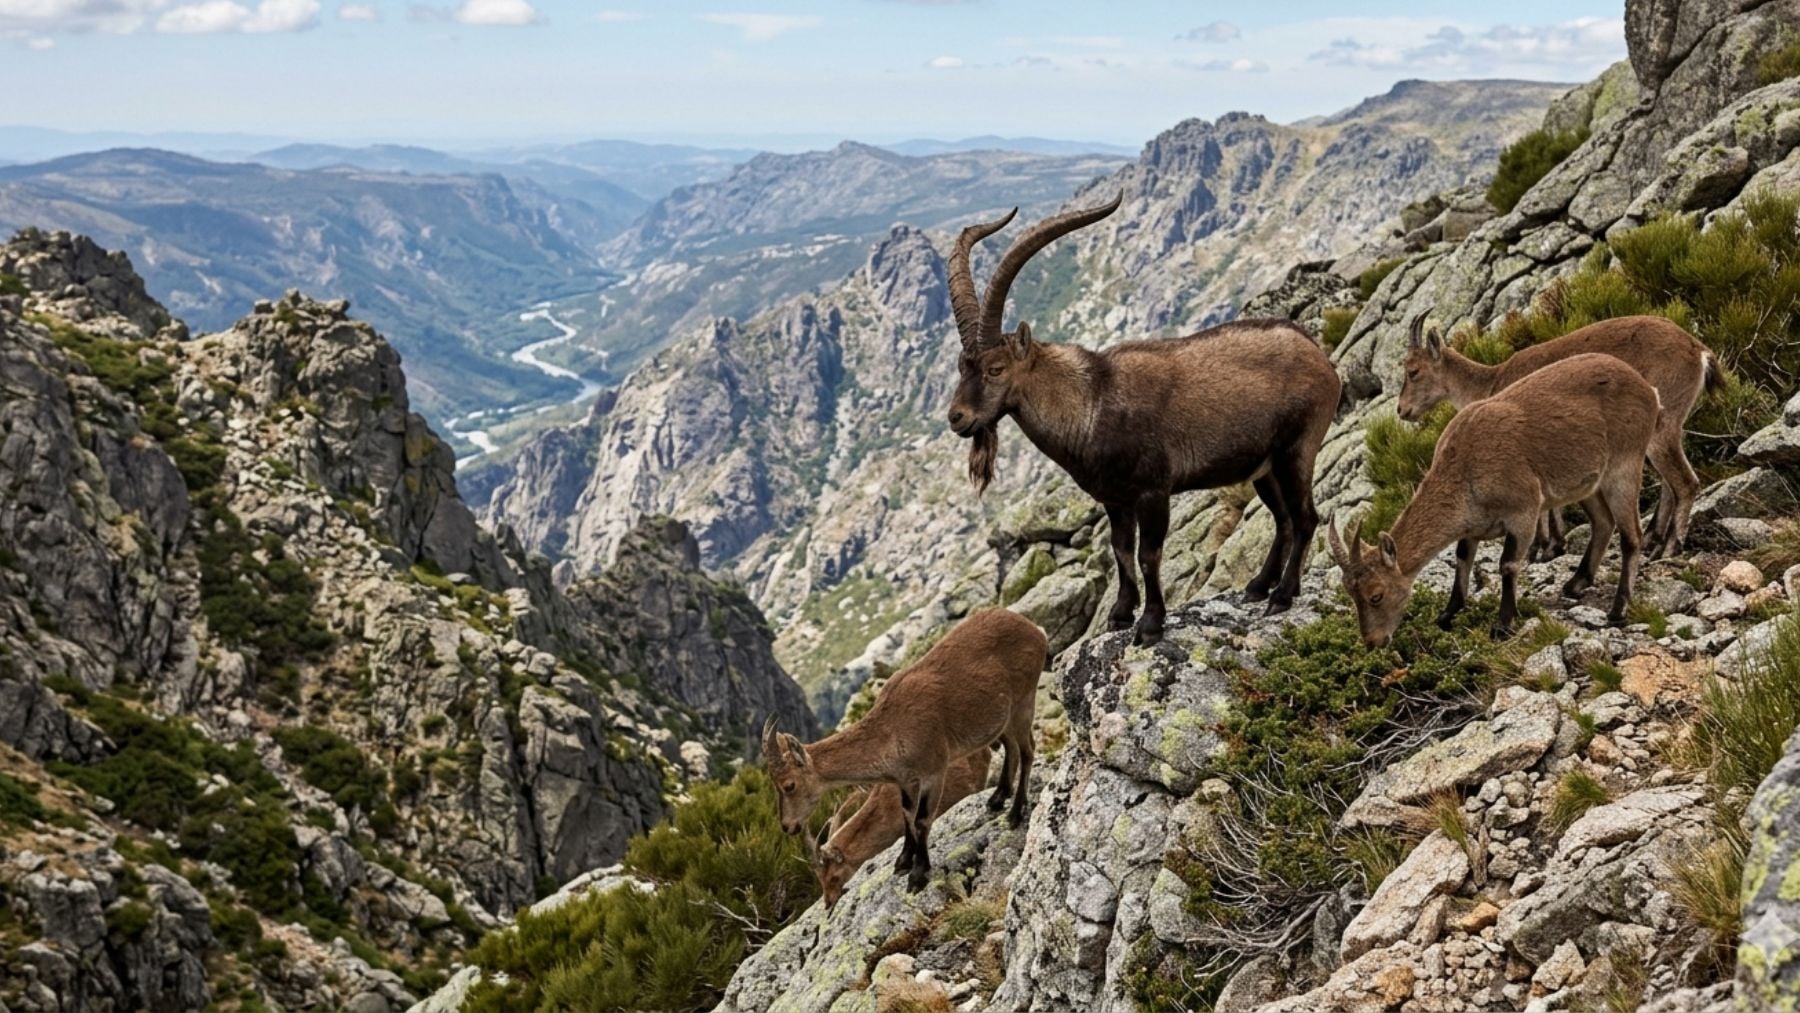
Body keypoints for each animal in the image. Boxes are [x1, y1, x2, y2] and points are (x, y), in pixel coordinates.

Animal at [944, 195, 1341, 644]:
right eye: (961, 366)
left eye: (995, 369)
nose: (957, 418)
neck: (1092, 401)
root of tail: (1317, 355)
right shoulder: (1116, 500)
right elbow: (1121, 552)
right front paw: (1120, 614)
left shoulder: (1153, 490)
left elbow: (1149, 554)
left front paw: (1150, 624)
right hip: (1264, 467)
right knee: (1283, 519)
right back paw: (1258, 587)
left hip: (1297, 450)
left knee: (1305, 518)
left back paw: (1283, 595)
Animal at [1330, 353, 1660, 647]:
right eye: (1352, 595)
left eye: (1376, 595)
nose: (1373, 642)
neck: (1465, 468)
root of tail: (1647, 388)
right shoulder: (1472, 526)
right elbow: (1463, 559)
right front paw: (1448, 614)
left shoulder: (1524, 511)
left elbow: (1508, 565)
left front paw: (1503, 624)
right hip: (1586, 483)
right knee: (1603, 523)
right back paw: (1576, 583)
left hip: (1624, 465)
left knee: (1631, 536)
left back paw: (1618, 610)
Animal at [1398, 314, 1717, 560]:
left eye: (1412, 371)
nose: (1402, 410)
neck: (1492, 382)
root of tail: (1699, 350)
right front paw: (1553, 544)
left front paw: (1541, 547)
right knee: (1669, 482)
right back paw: (1654, 539)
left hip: (1660, 428)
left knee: (1685, 482)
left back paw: (1670, 546)